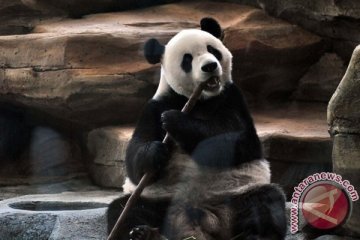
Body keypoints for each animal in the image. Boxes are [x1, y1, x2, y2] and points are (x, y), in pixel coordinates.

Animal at [107, 18, 286, 240]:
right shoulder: (155, 107)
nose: (210, 66)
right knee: (127, 209)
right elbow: (135, 160)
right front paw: (155, 152)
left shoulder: (232, 98)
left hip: (238, 193)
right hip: (160, 201)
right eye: (187, 59)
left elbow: (240, 140)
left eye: (212, 49)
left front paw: (175, 120)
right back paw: (141, 233)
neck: (200, 100)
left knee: (265, 202)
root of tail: (202, 219)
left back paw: (256, 235)